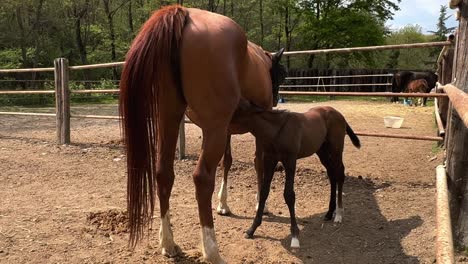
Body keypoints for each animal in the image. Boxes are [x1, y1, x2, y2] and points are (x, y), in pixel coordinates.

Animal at [118, 4, 286, 264]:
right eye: (281, 73)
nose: (276, 99)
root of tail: (183, 13)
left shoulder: (227, 130)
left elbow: (228, 162)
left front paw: (224, 204)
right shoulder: (247, 130)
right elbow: (259, 163)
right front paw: (261, 204)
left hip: (169, 119)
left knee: (163, 174)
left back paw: (168, 243)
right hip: (211, 130)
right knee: (202, 179)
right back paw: (212, 250)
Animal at [231, 101, 362, 250]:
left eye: (233, 112)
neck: (277, 130)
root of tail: (339, 114)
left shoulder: (290, 161)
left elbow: (289, 195)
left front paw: (294, 236)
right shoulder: (270, 160)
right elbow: (264, 192)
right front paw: (252, 229)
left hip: (336, 150)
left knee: (340, 174)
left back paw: (339, 214)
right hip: (322, 151)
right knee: (332, 175)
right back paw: (329, 213)